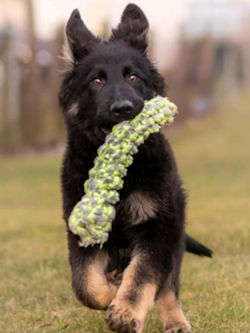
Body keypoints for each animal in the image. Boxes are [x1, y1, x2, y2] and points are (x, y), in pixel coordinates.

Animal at [59, 3, 212, 330]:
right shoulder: (81, 230)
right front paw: (110, 292)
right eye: (97, 81)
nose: (124, 109)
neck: (126, 171)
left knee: (169, 285)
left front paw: (126, 311)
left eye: (132, 77)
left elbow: (143, 275)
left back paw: (175, 321)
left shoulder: (157, 226)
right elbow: (84, 285)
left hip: (174, 230)